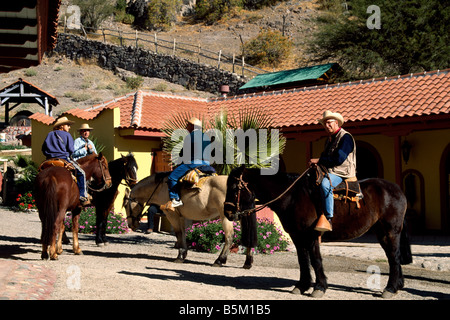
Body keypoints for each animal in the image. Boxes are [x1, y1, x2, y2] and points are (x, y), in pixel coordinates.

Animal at [123, 172, 256, 268]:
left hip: (226, 216)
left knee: (229, 236)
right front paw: (183, 254)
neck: (161, 187)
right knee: (248, 236)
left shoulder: (172, 215)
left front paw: (180, 255)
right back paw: (247, 262)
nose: (130, 225)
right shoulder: (182, 217)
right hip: (242, 215)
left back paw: (219, 260)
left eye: (125, 205)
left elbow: (178, 233)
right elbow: (183, 233)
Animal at [223, 166, 414, 298]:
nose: (228, 212)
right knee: (392, 257)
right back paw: (397, 285)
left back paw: (390, 288)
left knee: (394, 256)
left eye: (234, 187)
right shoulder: (297, 236)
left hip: (390, 232)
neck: (293, 197)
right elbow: (303, 260)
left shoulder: (311, 236)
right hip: (382, 233)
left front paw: (319, 287)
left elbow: (315, 260)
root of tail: (397, 189)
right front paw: (302, 285)